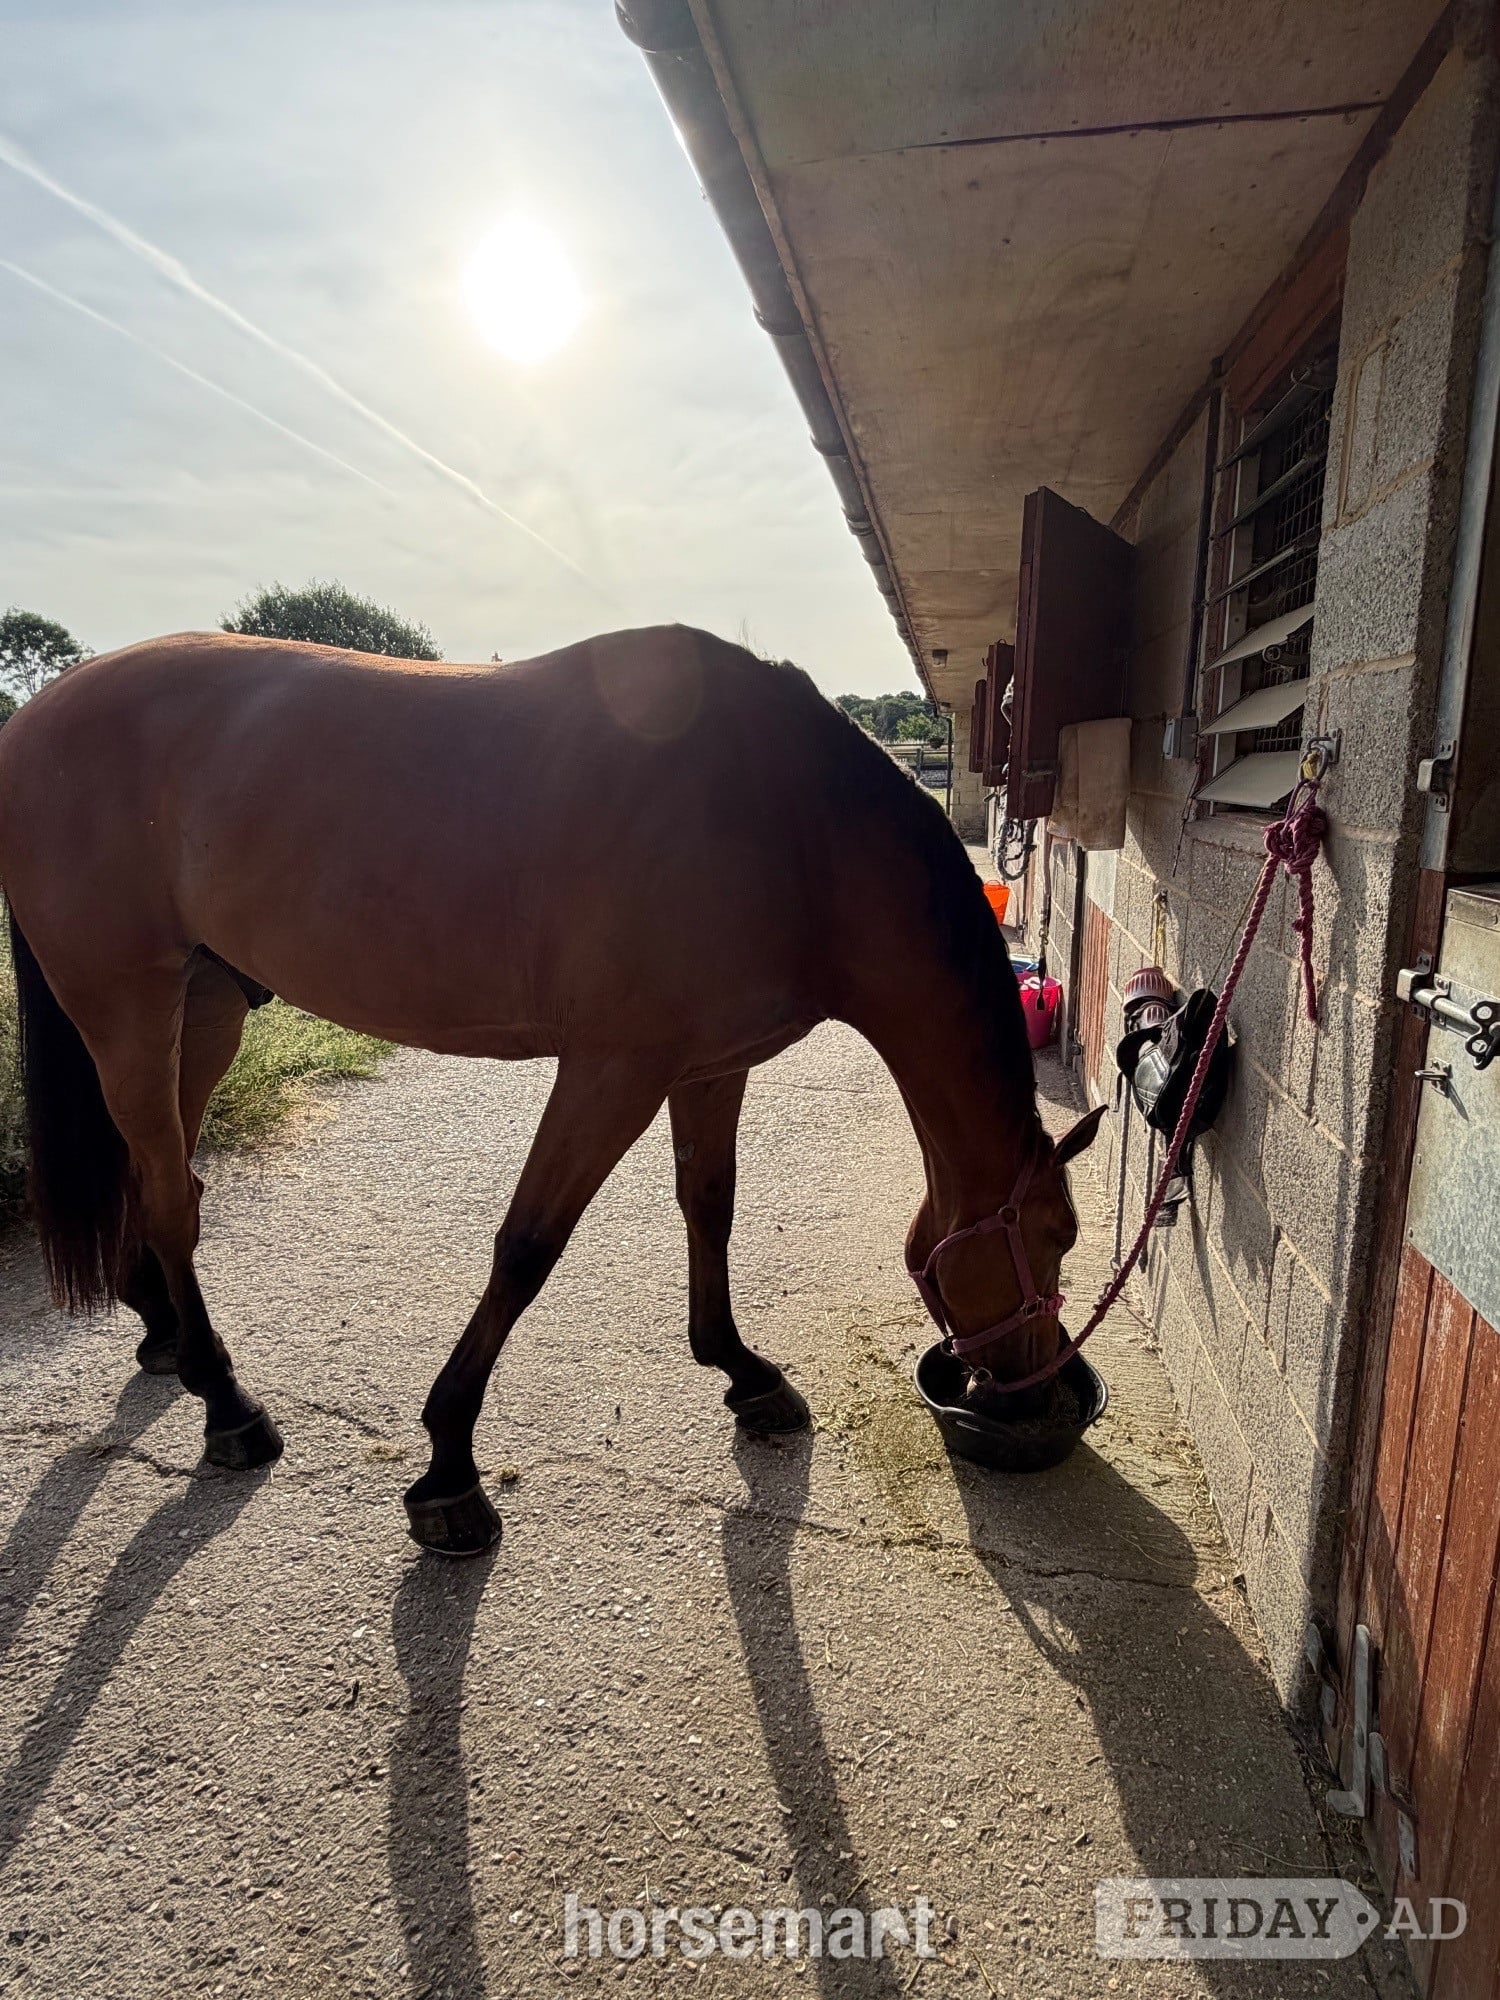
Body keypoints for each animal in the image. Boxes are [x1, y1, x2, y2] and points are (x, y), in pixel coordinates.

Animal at [0, 624, 1103, 1554]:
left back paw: (166, 1335)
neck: (791, 824)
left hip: (204, 1007)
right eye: (1055, 1237)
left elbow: (710, 1204)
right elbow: (529, 1246)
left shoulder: (711, 1064)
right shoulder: (613, 1069)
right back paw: (227, 1404)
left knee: (161, 1176)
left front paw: (740, 1370)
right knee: (171, 1198)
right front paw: (448, 1466)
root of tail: (35, 717)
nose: (1028, 1393)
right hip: (127, 1005)